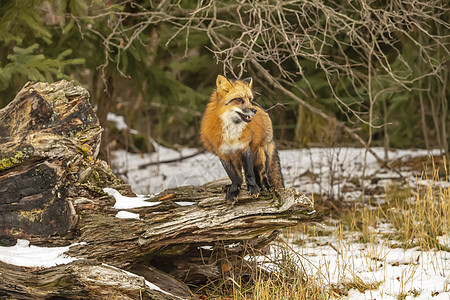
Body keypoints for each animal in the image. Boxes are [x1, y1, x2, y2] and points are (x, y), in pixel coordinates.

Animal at [201, 74, 284, 204]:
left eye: (250, 99)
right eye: (239, 99)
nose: (254, 110)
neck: (231, 133)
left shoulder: (245, 148)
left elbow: (249, 173)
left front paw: (253, 188)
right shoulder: (224, 154)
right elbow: (235, 177)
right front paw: (233, 191)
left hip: (261, 154)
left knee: (263, 173)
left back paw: (266, 187)